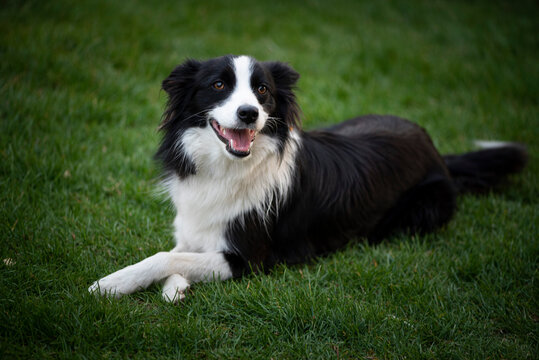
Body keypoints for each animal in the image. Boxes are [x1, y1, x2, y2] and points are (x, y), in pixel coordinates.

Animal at [88, 54, 528, 302]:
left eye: (262, 91)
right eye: (218, 85)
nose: (249, 113)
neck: (228, 167)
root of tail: (433, 145)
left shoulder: (249, 258)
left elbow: (163, 256)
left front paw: (109, 285)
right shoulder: (195, 227)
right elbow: (178, 252)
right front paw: (173, 288)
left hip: (423, 210)